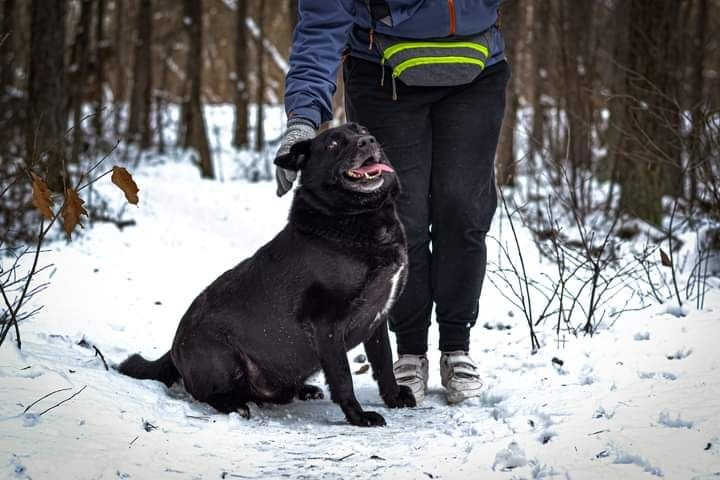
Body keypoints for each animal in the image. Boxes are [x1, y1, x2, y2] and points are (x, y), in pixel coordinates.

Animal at [121, 122, 416, 426]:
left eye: (362, 130)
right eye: (333, 144)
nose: (368, 140)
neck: (354, 218)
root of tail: (173, 348)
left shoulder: (377, 319)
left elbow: (384, 363)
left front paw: (394, 398)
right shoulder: (326, 324)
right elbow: (343, 377)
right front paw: (359, 416)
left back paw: (305, 389)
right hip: (223, 357)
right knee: (210, 394)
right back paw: (235, 405)